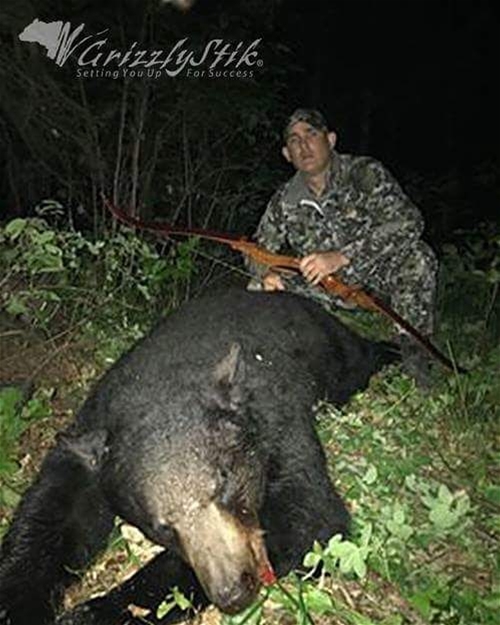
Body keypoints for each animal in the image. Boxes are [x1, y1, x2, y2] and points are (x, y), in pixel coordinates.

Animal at [0, 290, 398, 620]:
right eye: (161, 527)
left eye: (223, 485)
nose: (232, 592)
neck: (162, 379)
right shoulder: (92, 437)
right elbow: (54, 514)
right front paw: (17, 603)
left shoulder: (278, 425)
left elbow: (307, 514)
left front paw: (99, 611)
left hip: (331, 347)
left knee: (359, 356)